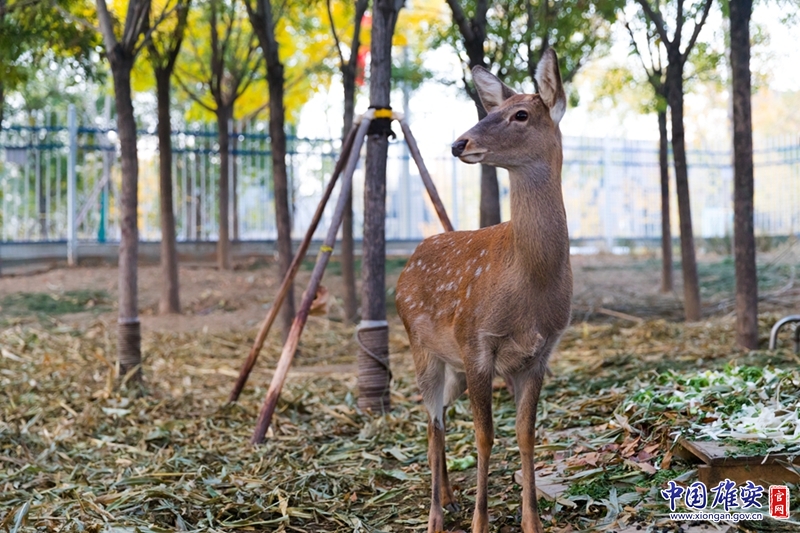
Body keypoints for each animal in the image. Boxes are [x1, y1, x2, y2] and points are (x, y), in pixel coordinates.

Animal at [396, 46, 572, 532]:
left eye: (519, 114)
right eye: (486, 110)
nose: (460, 144)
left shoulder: (540, 353)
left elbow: (526, 435)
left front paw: (531, 522)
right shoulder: (477, 341)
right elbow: (485, 436)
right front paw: (481, 522)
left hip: (451, 364)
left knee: (434, 419)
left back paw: (448, 497)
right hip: (422, 345)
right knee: (435, 422)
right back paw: (436, 516)